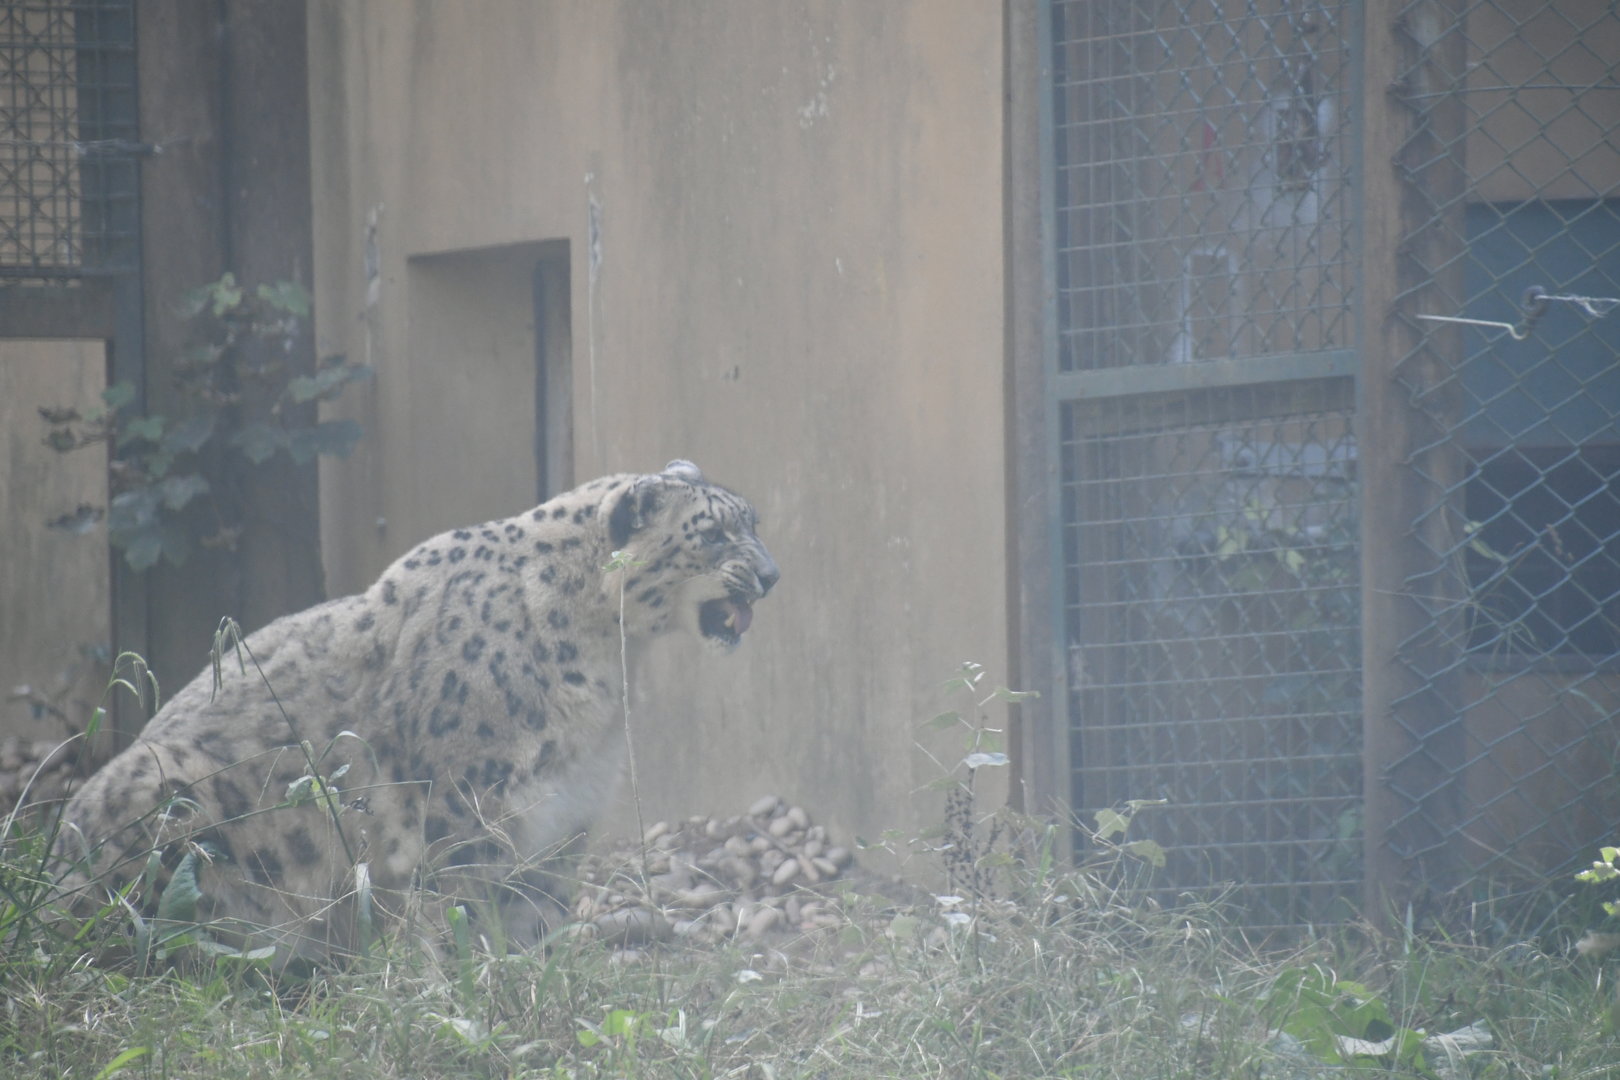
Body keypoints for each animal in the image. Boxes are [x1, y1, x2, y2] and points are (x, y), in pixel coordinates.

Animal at [53, 460, 777, 961]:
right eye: (714, 534)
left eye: (753, 521)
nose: (772, 575)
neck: (606, 661)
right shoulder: (466, 802)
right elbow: (457, 903)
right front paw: (470, 977)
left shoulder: (565, 816)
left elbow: (537, 909)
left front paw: (534, 974)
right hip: (174, 806)